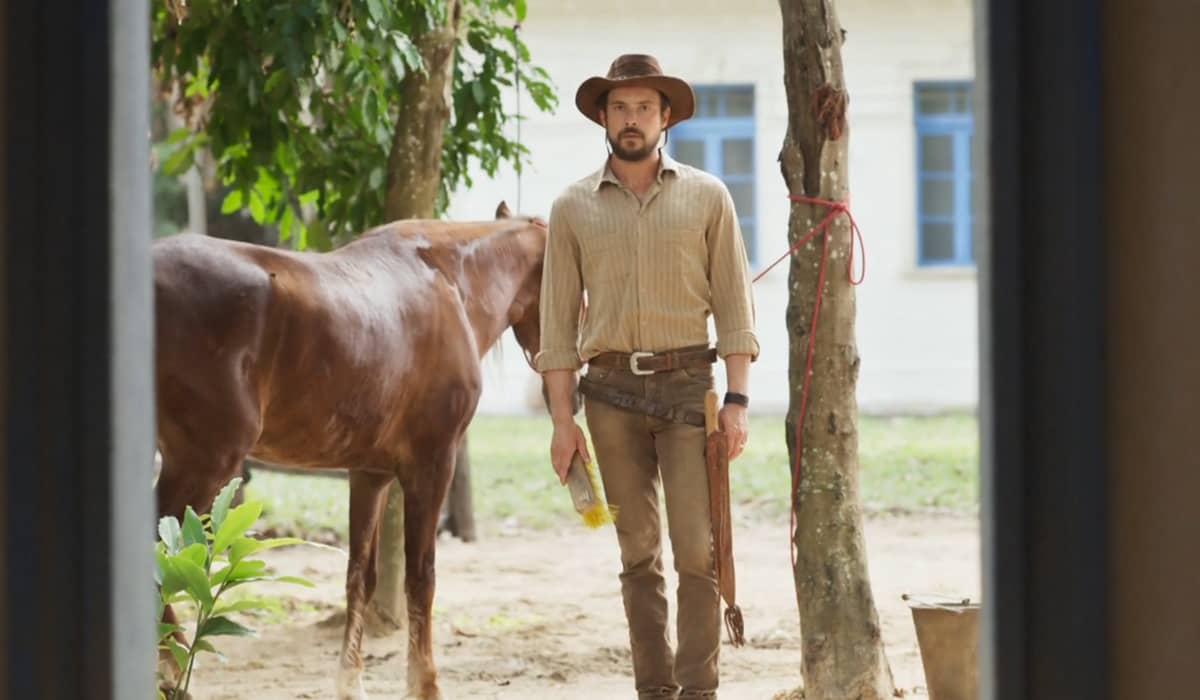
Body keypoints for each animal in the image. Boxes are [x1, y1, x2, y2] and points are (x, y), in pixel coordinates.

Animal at [151, 200, 549, 696]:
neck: (449, 281)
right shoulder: (433, 464)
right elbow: (421, 576)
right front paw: (425, 684)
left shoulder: (370, 474)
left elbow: (361, 575)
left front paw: (350, 682)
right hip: (203, 464)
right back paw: (174, 670)